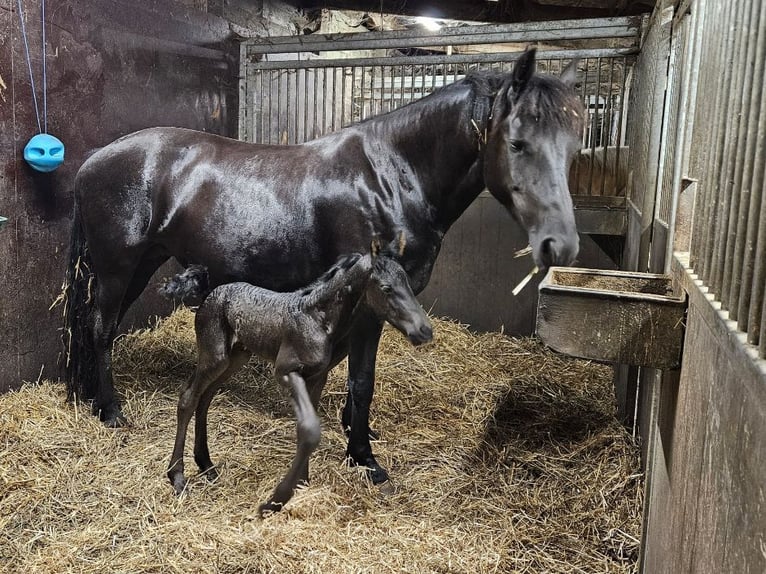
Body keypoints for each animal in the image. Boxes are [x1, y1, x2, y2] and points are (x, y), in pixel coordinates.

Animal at [63, 49, 584, 488]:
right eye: (517, 143)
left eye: (574, 148)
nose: (560, 244)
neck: (391, 177)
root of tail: (92, 162)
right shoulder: (371, 308)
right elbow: (362, 380)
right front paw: (364, 459)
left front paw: (358, 435)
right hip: (117, 268)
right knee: (101, 327)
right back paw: (110, 411)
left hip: (140, 266)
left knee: (99, 327)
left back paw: (89, 398)